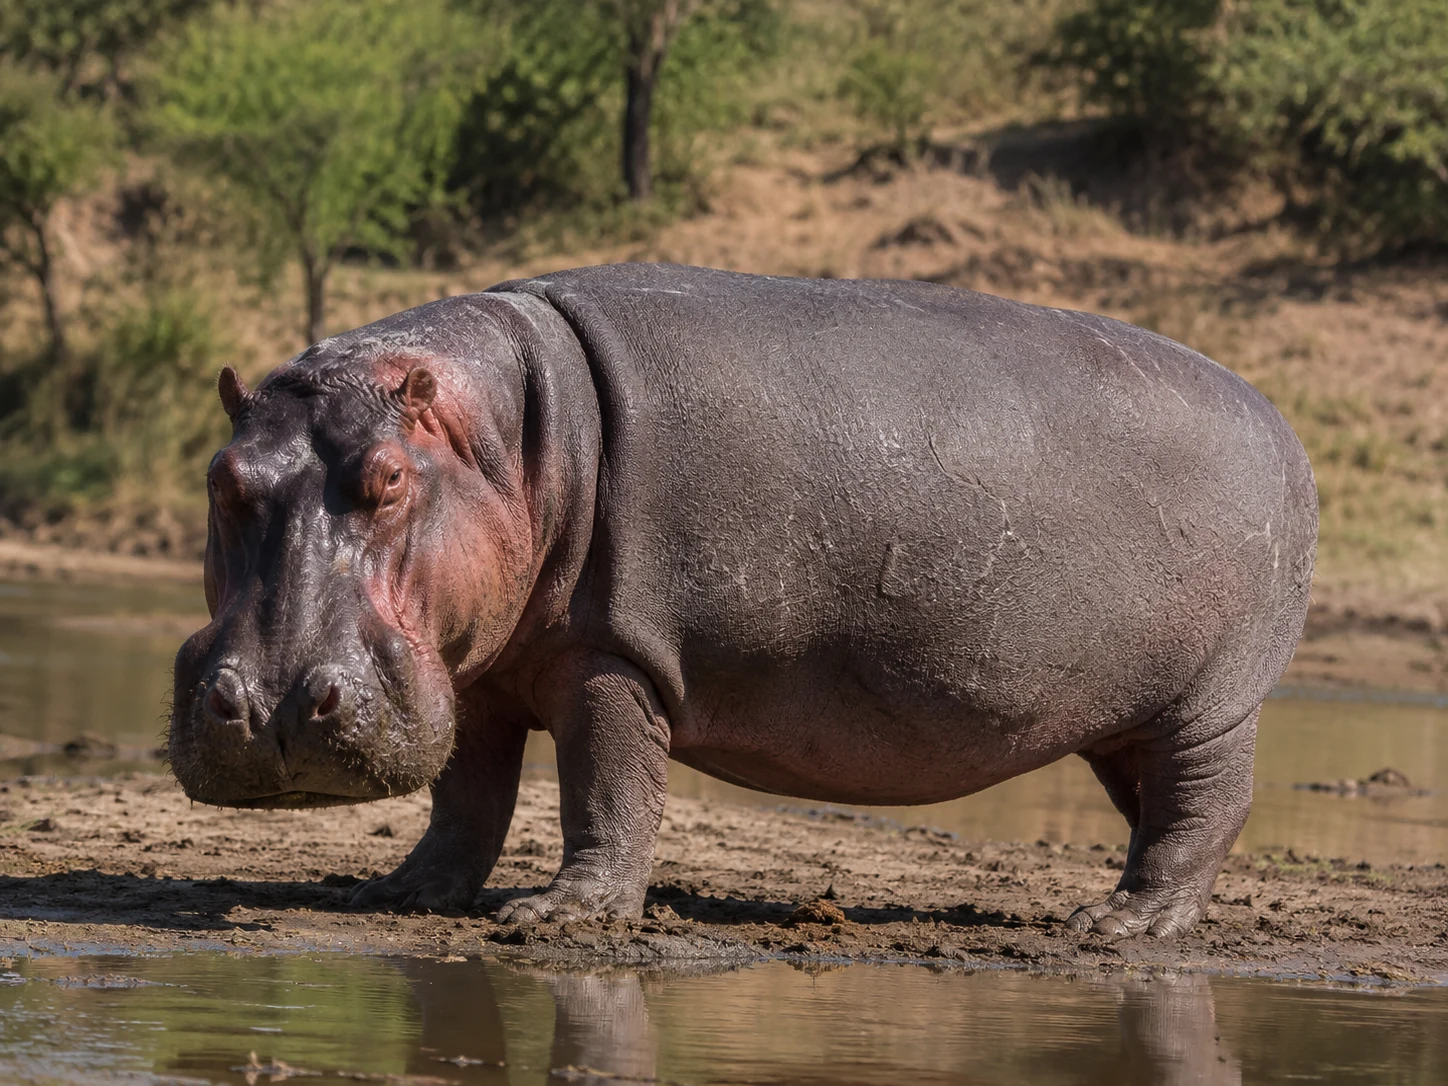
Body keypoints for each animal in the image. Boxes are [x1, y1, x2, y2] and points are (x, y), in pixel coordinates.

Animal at [170, 263, 1316, 937]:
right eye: (222, 478)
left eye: (389, 481)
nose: (271, 710)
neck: (502, 437)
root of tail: (1281, 425)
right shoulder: (475, 672)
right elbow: (467, 799)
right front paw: (401, 893)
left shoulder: (613, 653)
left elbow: (606, 786)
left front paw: (558, 918)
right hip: (1125, 715)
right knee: (1154, 805)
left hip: (1211, 706)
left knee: (1203, 807)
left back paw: (1119, 927)